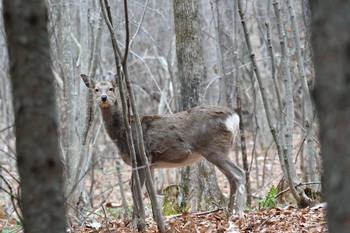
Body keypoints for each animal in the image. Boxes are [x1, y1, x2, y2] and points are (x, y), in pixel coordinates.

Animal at [81, 74, 246, 217]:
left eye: (111, 88)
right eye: (96, 89)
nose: (103, 98)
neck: (121, 133)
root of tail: (234, 117)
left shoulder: (141, 158)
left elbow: (136, 191)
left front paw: (136, 222)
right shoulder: (151, 163)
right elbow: (150, 191)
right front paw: (155, 219)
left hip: (214, 148)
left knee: (239, 173)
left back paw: (238, 213)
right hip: (219, 149)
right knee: (232, 177)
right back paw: (228, 213)